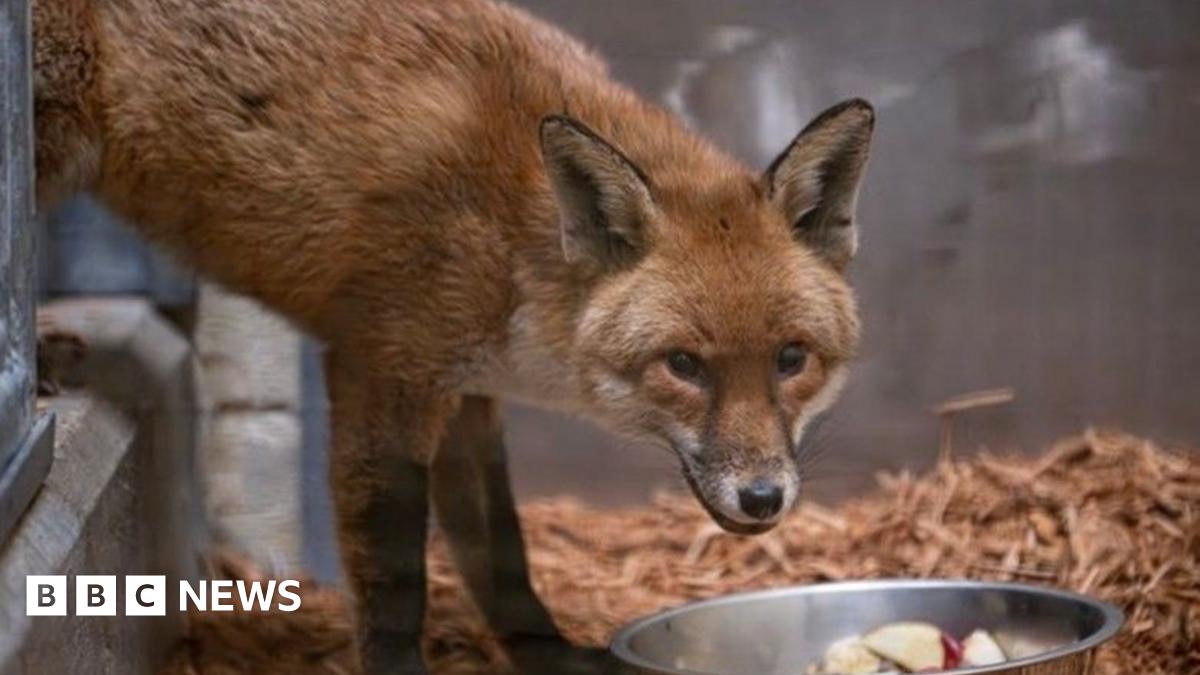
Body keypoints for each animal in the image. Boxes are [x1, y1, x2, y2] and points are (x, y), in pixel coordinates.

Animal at [32, 0, 873, 672]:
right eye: (684, 365)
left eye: (791, 358)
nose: (763, 497)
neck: (509, 231)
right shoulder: (381, 371)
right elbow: (397, 574)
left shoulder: (468, 392)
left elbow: (501, 554)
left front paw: (552, 655)